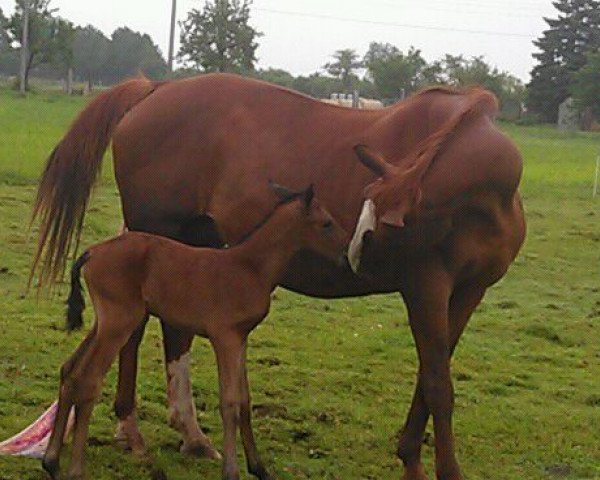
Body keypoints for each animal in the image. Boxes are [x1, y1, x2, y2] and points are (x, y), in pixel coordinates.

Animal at [42, 185, 346, 480]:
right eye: (327, 223)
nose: (345, 254)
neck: (250, 267)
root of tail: (92, 252)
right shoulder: (225, 338)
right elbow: (230, 402)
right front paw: (231, 471)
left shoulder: (242, 339)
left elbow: (245, 400)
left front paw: (259, 468)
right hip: (119, 323)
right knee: (88, 379)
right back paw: (75, 469)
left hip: (105, 323)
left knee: (70, 370)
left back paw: (51, 462)